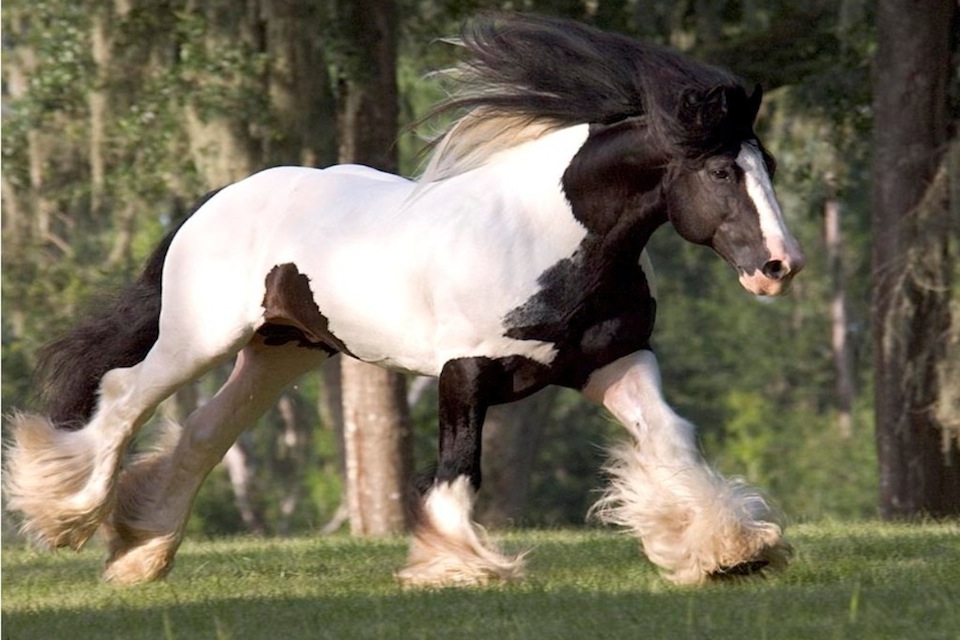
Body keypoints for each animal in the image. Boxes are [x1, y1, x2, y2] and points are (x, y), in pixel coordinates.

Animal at [4, 13, 803, 587]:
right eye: (721, 171)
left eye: (767, 163)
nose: (779, 266)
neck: (544, 235)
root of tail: (214, 201)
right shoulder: (467, 371)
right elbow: (457, 468)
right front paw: (456, 566)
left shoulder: (614, 361)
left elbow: (672, 438)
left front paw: (729, 549)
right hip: (200, 338)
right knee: (123, 397)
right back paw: (68, 517)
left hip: (283, 351)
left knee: (202, 432)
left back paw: (140, 552)